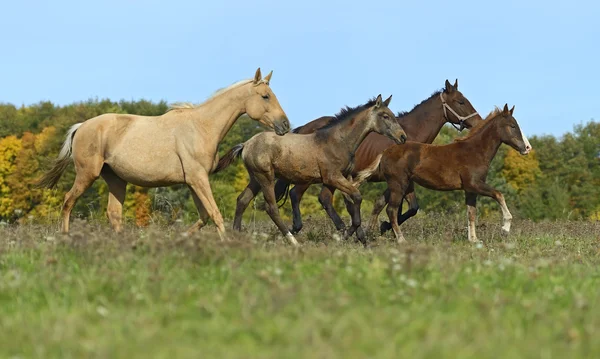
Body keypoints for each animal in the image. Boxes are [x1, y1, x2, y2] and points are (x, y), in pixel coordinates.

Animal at [37, 69, 290, 240]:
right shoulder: (198, 179)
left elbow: (204, 216)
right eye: (265, 96)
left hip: (116, 179)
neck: (202, 126)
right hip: (87, 174)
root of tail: (81, 127)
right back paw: (65, 238)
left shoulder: (192, 181)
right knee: (68, 202)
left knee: (114, 214)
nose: (285, 125)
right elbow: (215, 214)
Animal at [214, 95, 408, 248]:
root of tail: (246, 144)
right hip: (265, 177)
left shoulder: (337, 179)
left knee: (242, 200)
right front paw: (347, 234)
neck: (338, 141)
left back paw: (237, 236)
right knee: (271, 208)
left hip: (255, 178)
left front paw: (360, 239)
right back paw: (292, 241)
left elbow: (349, 202)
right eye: (385, 116)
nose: (403, 137)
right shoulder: (333, 177)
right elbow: (357, 197)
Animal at [276, 80, 482, 235]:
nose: (478, 122)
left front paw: (378, 228)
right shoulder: (398, 180)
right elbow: (395, 206)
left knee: (323, 198)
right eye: (460, 102)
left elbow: (403, 207)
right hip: (311, 177)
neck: (410, 134)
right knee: (297, 195)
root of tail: (303, 128)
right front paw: (381, 228)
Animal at [354, 105, 532, 245]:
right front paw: (505, 227)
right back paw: (401, 239)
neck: (475, 151)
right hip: (398, 184)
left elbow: (471, 213)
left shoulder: (470, 190)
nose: (527, 148)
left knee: (385, 205)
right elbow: (499, 194)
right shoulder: (475, 184)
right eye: (512, 126)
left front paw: (473, 240)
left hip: (402, 185)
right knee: (391, 210)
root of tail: (385, 152)